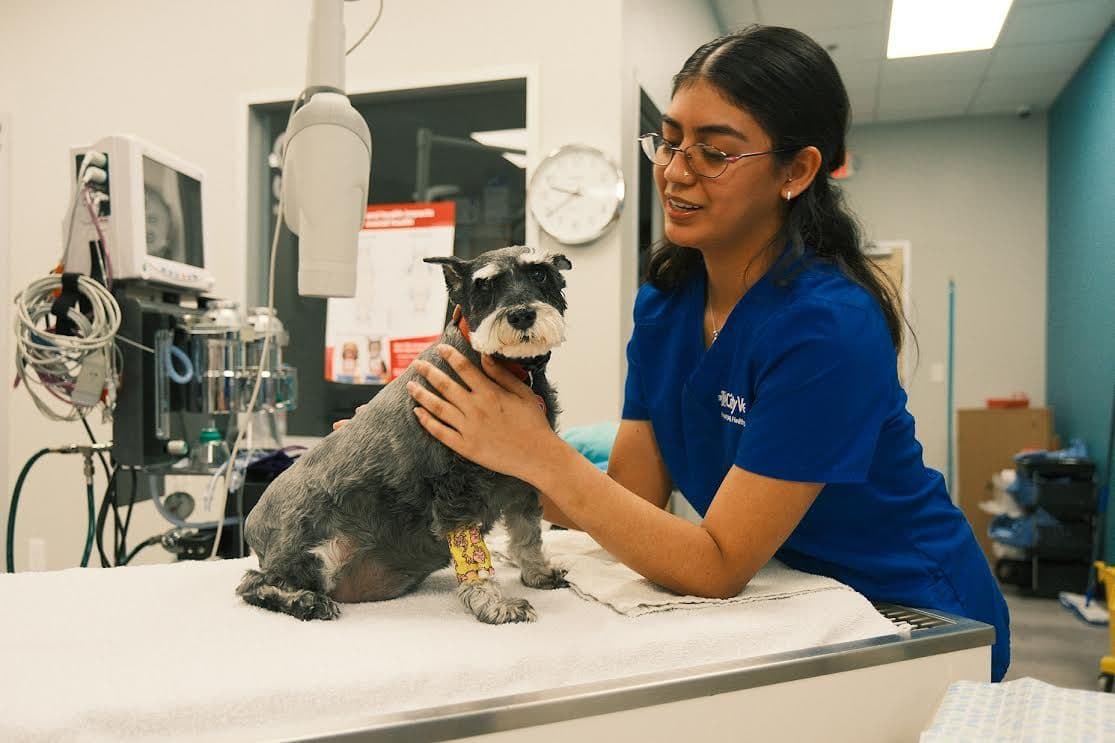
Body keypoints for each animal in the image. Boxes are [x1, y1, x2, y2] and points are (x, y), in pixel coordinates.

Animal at [233, 245, 566, 620]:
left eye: (539, 273)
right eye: (485, 286)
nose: (522, 315)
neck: (510, 370)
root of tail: (252, 526)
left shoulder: (525, 477)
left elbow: (528, 532)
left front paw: (538, 573)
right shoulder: (455, 487)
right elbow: (474, 555)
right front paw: (494, 604)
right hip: (308, 551)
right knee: (254, 583)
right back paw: (304, 601)